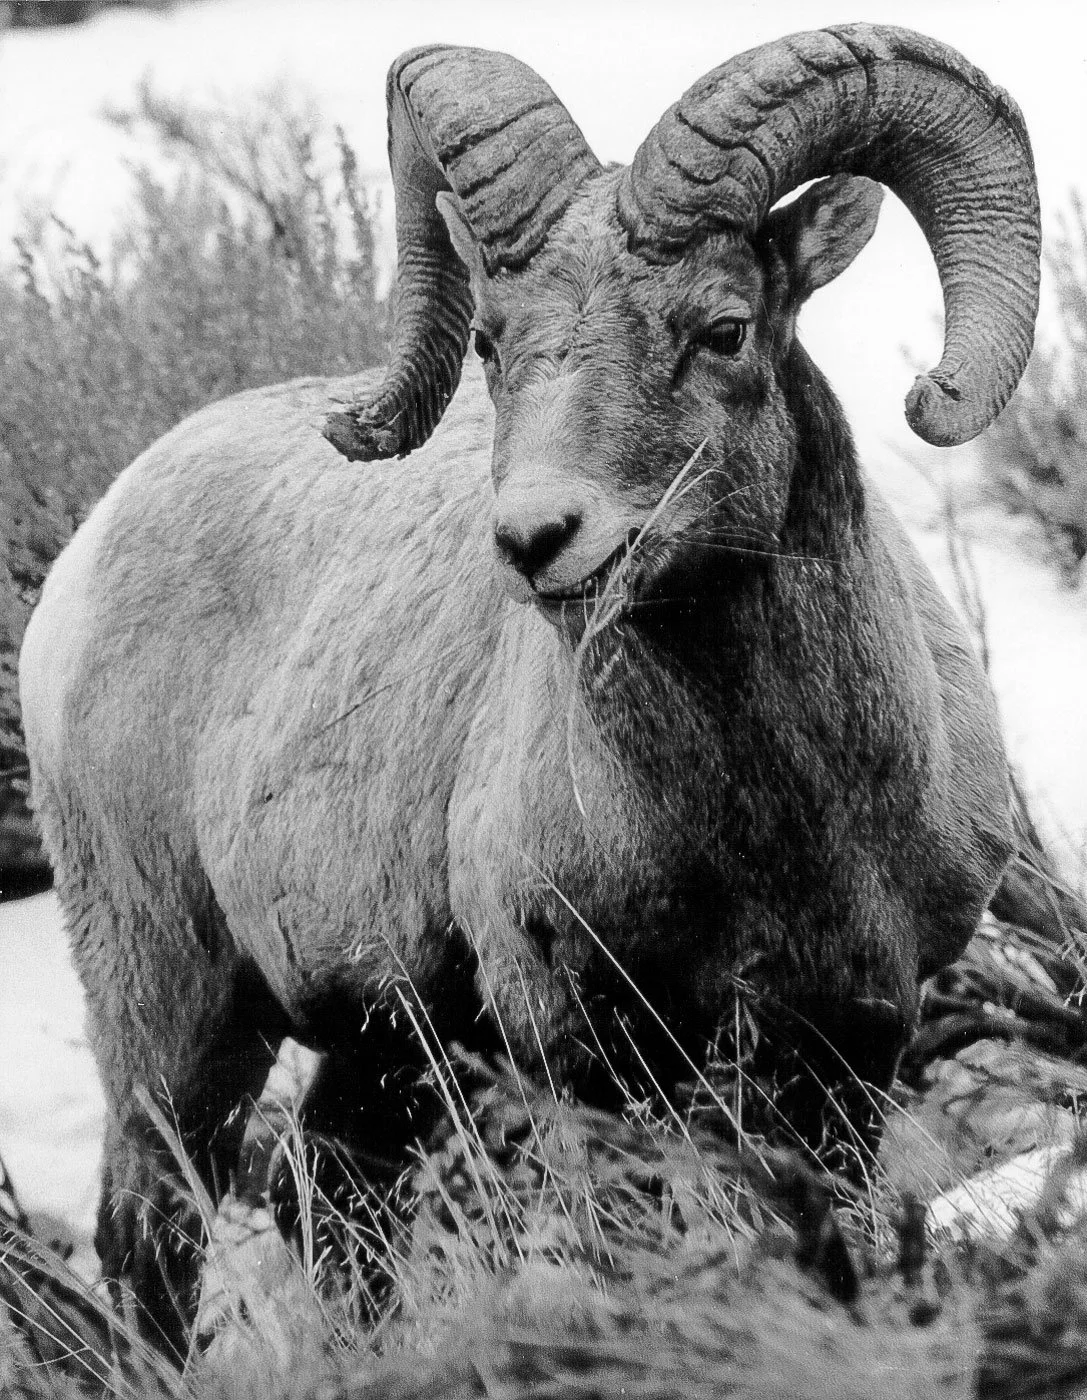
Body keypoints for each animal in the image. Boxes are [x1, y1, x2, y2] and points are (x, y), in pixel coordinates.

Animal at [18, 23, 1039, 1354]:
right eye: (493, 343)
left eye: (723, 327)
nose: (536, 538)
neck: (781, 821)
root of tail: (92, 540)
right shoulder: (580, 1043)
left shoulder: (850, 1038)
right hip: (171, 999)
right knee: (151, 1233)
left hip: (385, 1040)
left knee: (332, 1192)